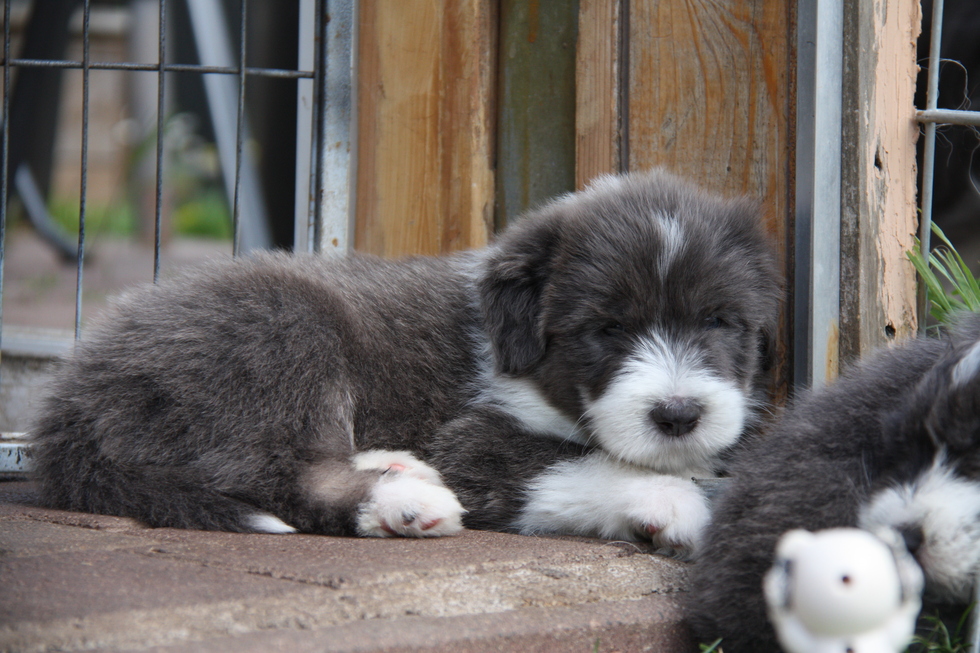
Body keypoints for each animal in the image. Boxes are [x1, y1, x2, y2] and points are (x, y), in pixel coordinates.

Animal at [30, 169, 780, 556]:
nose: (678, 414)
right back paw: (402, 502)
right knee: (278, 473)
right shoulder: (474, 442)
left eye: (719, 321)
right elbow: (582, 463)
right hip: (282, 326)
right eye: (606, 328)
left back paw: (394, 466)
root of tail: (71, 400)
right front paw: (672, 500)